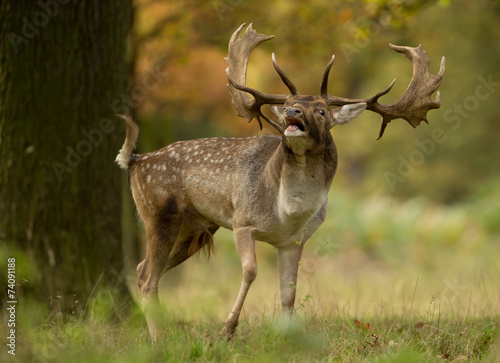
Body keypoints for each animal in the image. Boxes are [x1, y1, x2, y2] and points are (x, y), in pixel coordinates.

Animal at [115, 24, 444, 340]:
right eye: (290, 101)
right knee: (148, 277)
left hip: (194, 228)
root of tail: (135, 161)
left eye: (321, 110)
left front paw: (287, 337)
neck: (287, 211)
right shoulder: (243, 222)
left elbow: (289, 292)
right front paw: (228, 329)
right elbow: (250, 272)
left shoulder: (294, 241)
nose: (290, 112)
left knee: (143, 270)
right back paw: (158, 339)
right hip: (158, 213)